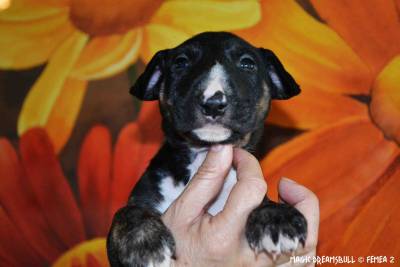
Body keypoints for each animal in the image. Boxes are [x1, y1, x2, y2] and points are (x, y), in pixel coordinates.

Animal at [106, 31, 306, 267]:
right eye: (180, 62)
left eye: (247, 63)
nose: (213, 103)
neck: (202, 156)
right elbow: (127, 212)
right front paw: (143, 242)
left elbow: (262, 201)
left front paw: (276, 217)